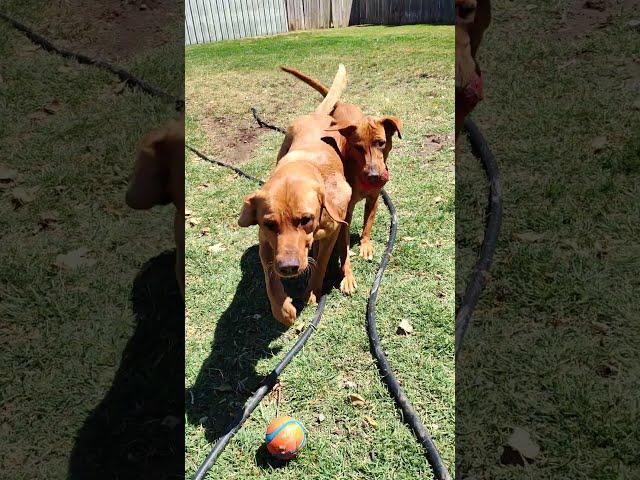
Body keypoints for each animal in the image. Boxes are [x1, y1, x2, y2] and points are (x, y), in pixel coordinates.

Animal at [238, 64, 352, 326]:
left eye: (305, 219)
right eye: (269, 224)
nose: (289, 267)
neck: (303, 165)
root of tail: (316, 115)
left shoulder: (331, 232)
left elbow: (320, 265)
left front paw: (311, 292)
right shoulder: (266, 242)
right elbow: (270, 279)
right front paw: (284, 310)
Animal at [278, 67, 400, 278]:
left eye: (381, 143)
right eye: (358, 147)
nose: (375, 176)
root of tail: (341, 103)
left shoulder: (374, 198)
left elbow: (368, 224)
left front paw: (365, 244)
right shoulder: (345, 212)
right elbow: (344, 245)